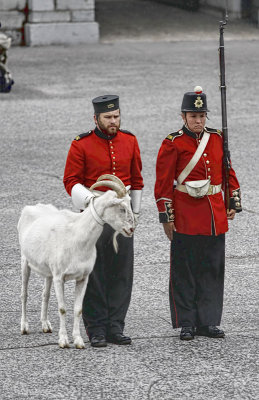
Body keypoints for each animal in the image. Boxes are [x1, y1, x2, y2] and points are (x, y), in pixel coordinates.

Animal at [16, 174, 134, 346]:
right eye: (122, 208)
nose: (131, 229)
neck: (76, 235)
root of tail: (29, 208)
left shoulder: (82, 279)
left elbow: (78, 309)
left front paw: (78, 341)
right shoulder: (59, 278)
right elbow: (62, 308)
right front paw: (64, 341)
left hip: (48, 274)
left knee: (45, 294)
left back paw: (45, 325)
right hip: (25, 262)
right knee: (24, 294)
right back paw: (24, 327)